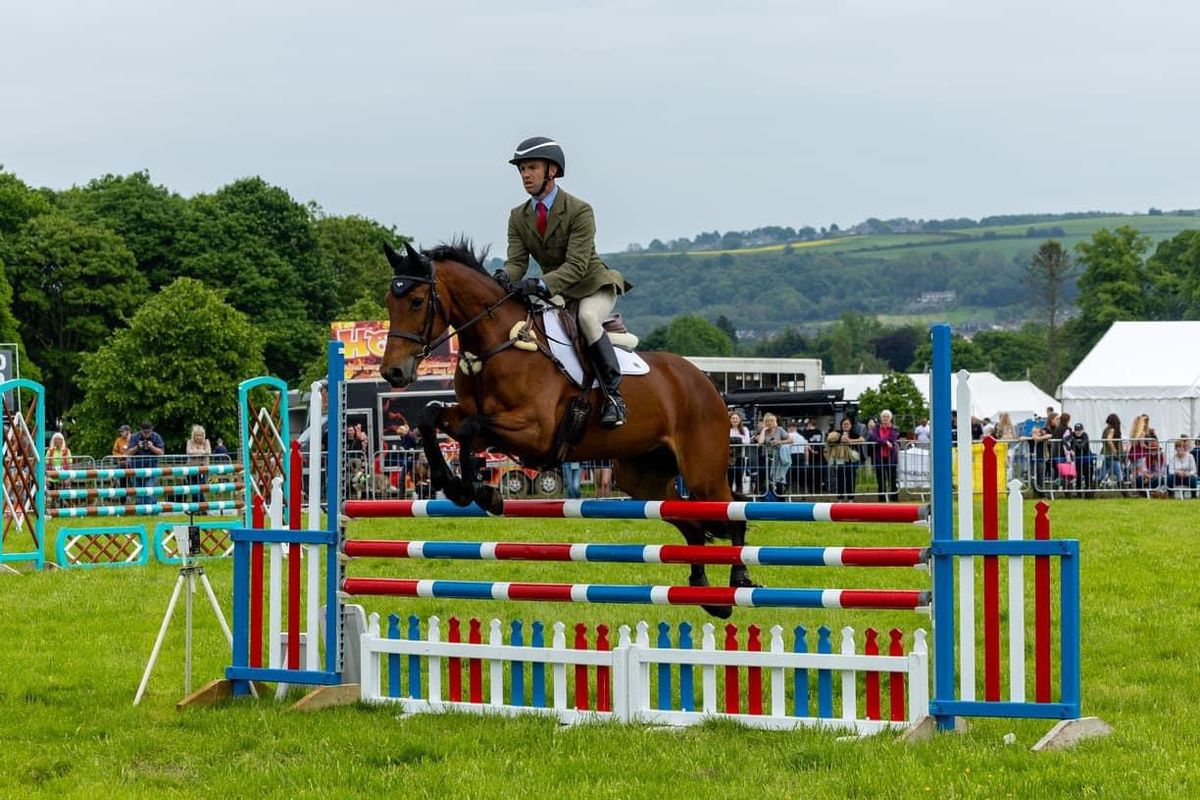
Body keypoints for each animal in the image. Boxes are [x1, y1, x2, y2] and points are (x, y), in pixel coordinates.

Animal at [379, 241, 753, 618]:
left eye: (416, 301)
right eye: (388, 301)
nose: (393, 372)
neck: (498, 344)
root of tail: (704, 382)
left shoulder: (536, 432)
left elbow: (472, 429)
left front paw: (477, 490)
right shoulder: (476, 419)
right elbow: (432, 417)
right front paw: (459, 485)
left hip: (702, 472)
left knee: (733, 511)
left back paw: (738, 580)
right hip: (643, 478)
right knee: (691, 521)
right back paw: (707, 595)